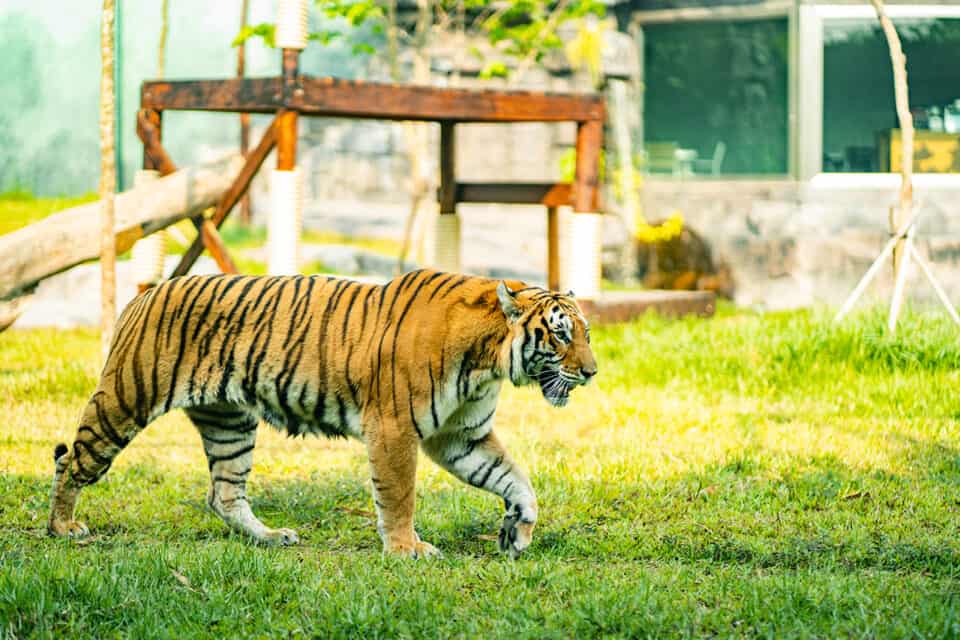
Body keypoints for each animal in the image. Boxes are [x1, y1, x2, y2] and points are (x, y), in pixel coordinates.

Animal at [48, 268, 597, 558]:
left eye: (586, 333)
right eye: (560, 334)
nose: (592, 372)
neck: (489, 360)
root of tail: (149, 290)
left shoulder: (462, 436)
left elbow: (515, 480)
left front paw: (517, 531)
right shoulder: (395, 429)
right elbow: (399, 495)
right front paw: (407, 549)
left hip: (230, 424)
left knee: (223, 495)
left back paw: (272, 537)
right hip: (125, 400)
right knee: (71, 461)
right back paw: (63, 528)